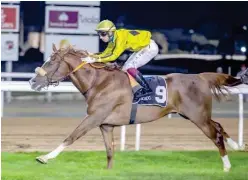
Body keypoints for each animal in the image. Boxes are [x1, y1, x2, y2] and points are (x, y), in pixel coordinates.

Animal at [29, 44, 246, 172]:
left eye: (51, 61)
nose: (32, 81)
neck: (99, 82)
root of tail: (200, 77)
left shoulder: (94, 117)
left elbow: (71, 137)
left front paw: (44, 157)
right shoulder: (106, 125)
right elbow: (109, 151)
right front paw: (109, 172)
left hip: (197, 116)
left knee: (215, 134)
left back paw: (227, 166)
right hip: (192, 115)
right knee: (218, 126)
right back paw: (237, 146)